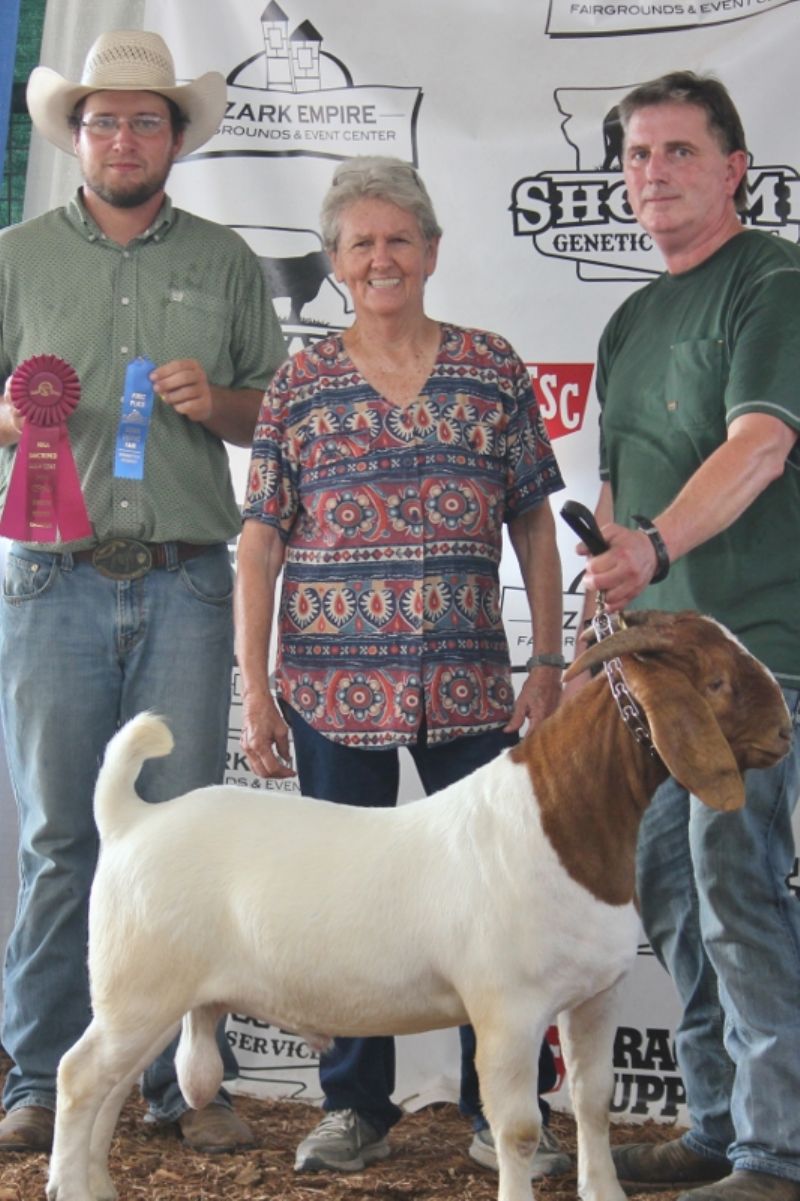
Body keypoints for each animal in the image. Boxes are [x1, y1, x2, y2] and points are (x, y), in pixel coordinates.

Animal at [46, 610, 787, 1201]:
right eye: (716, 682)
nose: (785, 731)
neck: (560, 824)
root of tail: (131, 819)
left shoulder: (595, 997)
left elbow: (594, 1103)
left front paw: (603, 1191)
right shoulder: (508, 1010)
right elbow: (519, 1129)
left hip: (149, 998)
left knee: (110, 1088)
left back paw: (99, 1185)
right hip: (140, 986)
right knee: (79, 1076)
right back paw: (71, 1186)